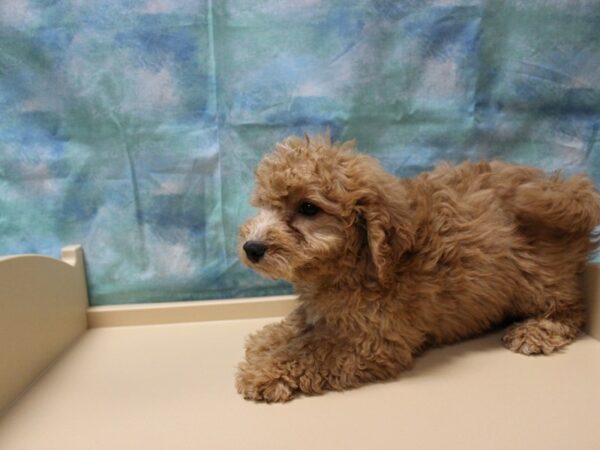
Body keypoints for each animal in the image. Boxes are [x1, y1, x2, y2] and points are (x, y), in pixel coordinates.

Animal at [236, 134, 600, 404]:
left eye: (309, 208)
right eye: (265, 204)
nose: (251, 248)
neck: (362, 259)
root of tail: (567, 192)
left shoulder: (374, 342)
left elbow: (314, 350)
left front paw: (264, 370)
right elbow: (304, 322)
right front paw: (271, 337)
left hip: (536, 277)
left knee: (570, 308)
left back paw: (536, 330)